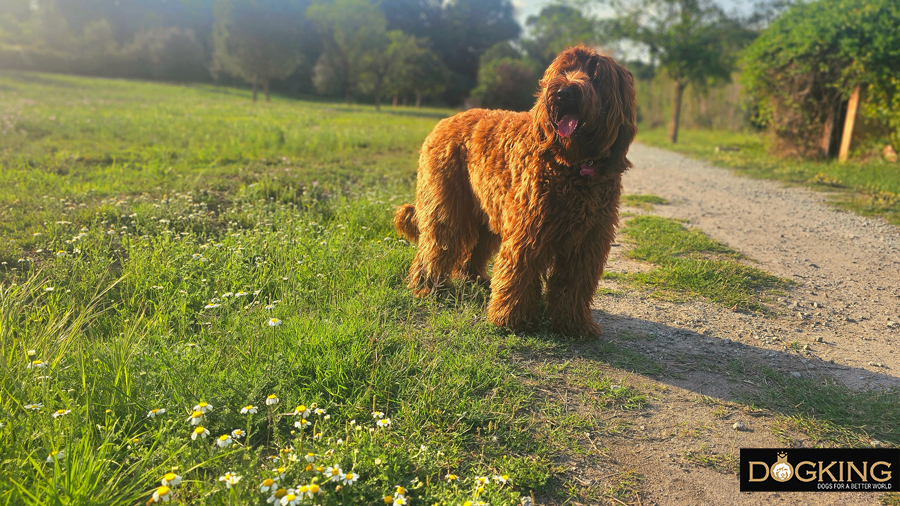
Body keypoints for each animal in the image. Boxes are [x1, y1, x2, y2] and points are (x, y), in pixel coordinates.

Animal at [396, 47, 640, 338]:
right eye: (563, 70)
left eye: (595, 75)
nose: (564, 93)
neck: (573, 164)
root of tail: (446, 120)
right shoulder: (530, 230)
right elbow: (519, 274)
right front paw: (511, 320)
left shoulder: (587, 242)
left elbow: (575, 285)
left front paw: (574, 324)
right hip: (446, 205)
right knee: (435, 246)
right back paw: (429, 286)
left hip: (487, 212)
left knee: (473, 249)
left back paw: (474, 278)